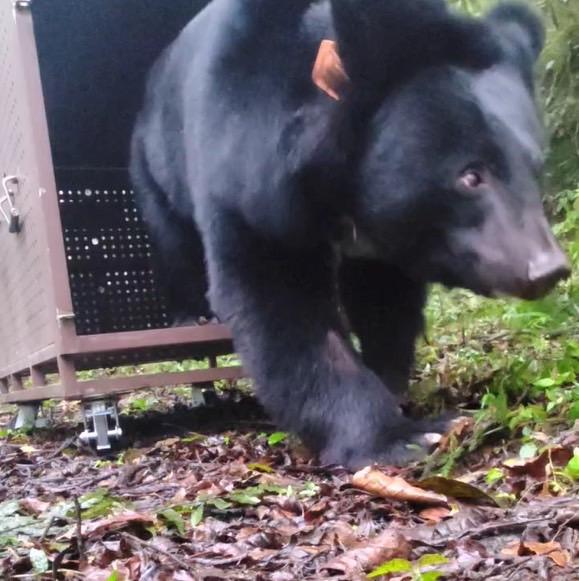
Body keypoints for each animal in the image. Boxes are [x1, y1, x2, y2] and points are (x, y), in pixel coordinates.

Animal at [131, 0, 572, 464]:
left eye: (535, 168)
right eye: (470, 176)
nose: (547, 269)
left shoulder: (383, 240)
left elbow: (386, 305)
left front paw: (391, 383)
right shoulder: (247, 180)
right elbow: (281, 306)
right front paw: (401, 436)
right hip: (154, 165)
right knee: (173, 240)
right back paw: (191, 313)